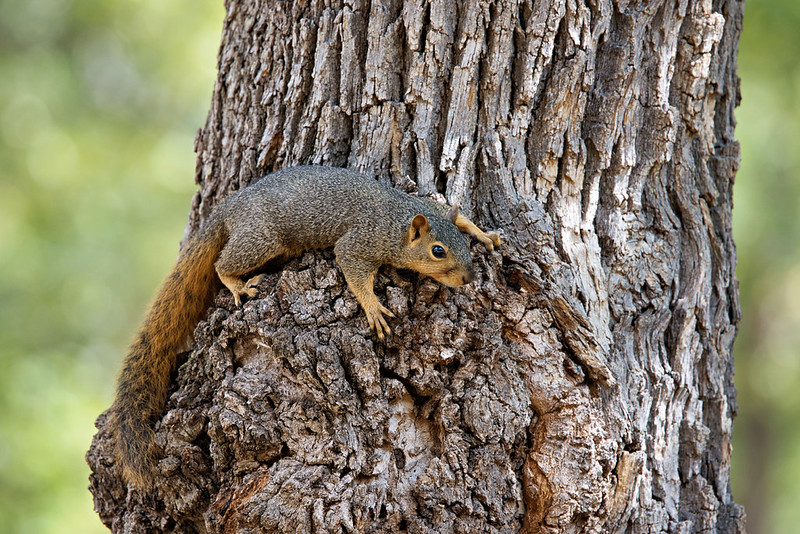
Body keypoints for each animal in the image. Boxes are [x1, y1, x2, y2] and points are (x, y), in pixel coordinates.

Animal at [110, 165, 500, 488]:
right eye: (438, 251)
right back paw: (237, 284)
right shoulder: (362, 241)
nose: (467, 278)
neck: (398, 220)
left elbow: (456, 214)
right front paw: (373, 306)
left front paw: (482, 233)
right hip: (261, 238)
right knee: (223, 264)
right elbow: (351, 265)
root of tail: (229, 208)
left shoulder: (425, 204)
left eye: (462, 246)